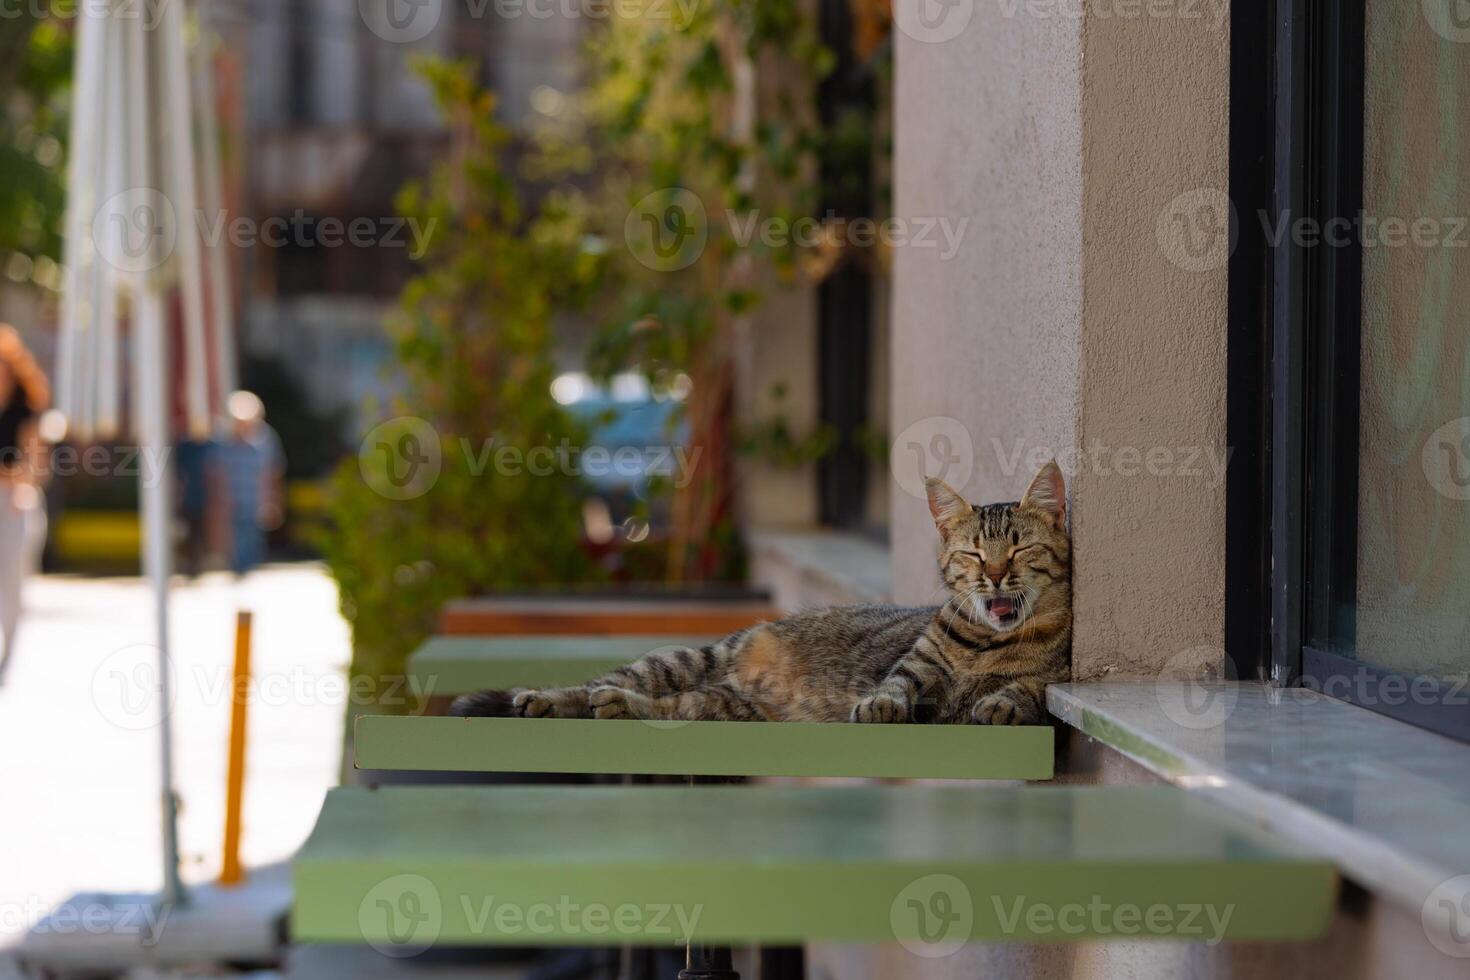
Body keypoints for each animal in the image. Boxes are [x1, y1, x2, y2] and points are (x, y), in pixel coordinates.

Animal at [446, 458, 1070, 719]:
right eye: (973, 554)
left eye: (1018, 550)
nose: (994, 575)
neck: (988, 644)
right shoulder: (914, 668)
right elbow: (896, 685)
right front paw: (880, 705)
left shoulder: (1052, 676)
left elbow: (1032, 687)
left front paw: (1004, 701)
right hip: (681, 659)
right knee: (601, 684)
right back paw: (551, 699)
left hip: (717, 703)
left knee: (671, 709)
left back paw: (619, 708)